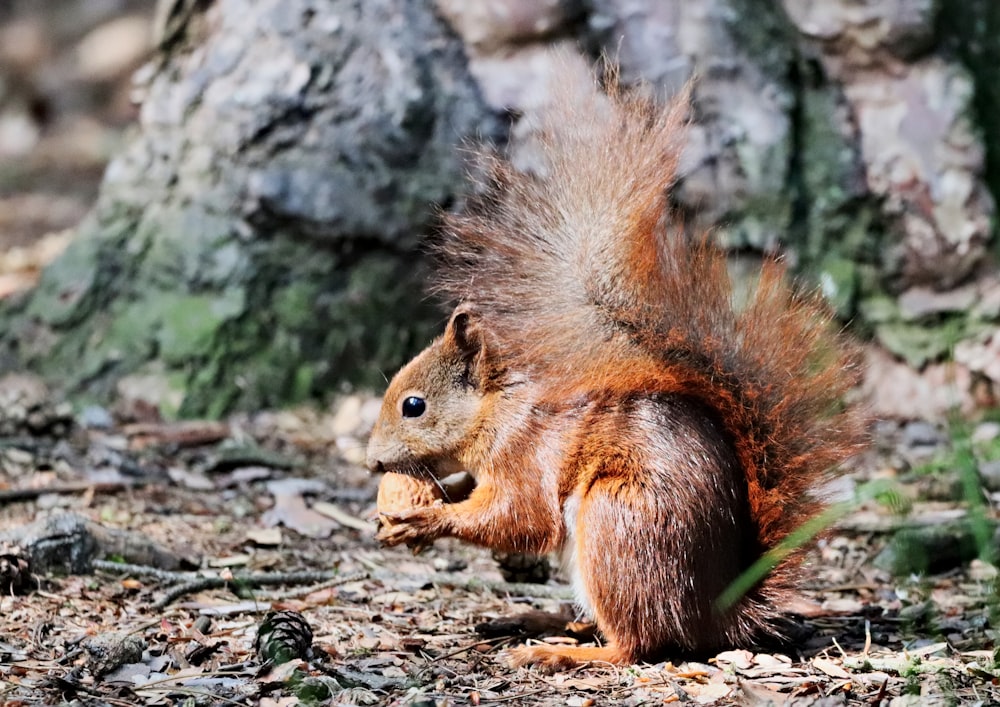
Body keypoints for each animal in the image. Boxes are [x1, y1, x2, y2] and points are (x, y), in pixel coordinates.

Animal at [368, 69, 868, 672]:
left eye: (413, 406)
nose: (372, 462)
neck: (498, 411)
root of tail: (717, 613)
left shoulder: (526, 457)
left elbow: (519, 518)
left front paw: (425, 520)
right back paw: (542, 621)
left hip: (616, 529)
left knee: (637, 645)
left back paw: (561, 651)